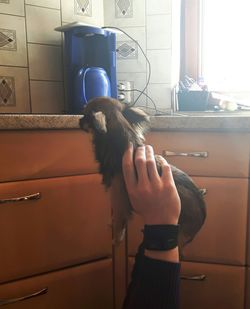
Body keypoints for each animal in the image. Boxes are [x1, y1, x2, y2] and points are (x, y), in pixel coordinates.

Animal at [79, 97, 206, 248]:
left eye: (85, 115)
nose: (78, 120)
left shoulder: (118, 199)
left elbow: (119, 224)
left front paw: (115, 239)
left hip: (179, 236)